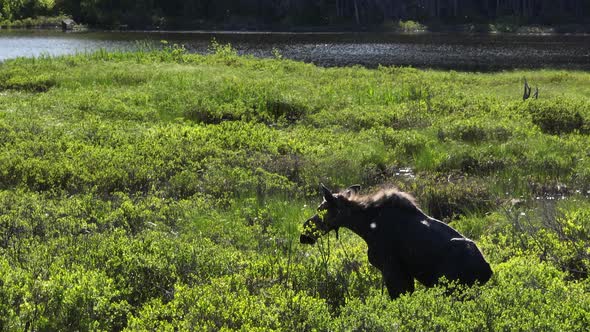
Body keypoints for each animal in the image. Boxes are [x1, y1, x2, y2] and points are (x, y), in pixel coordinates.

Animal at [300, 184, 494, 298]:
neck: (365, 227)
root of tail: (487, 270)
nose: (304, 234)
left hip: (450, 287)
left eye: (321, 209)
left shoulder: (392, 269)